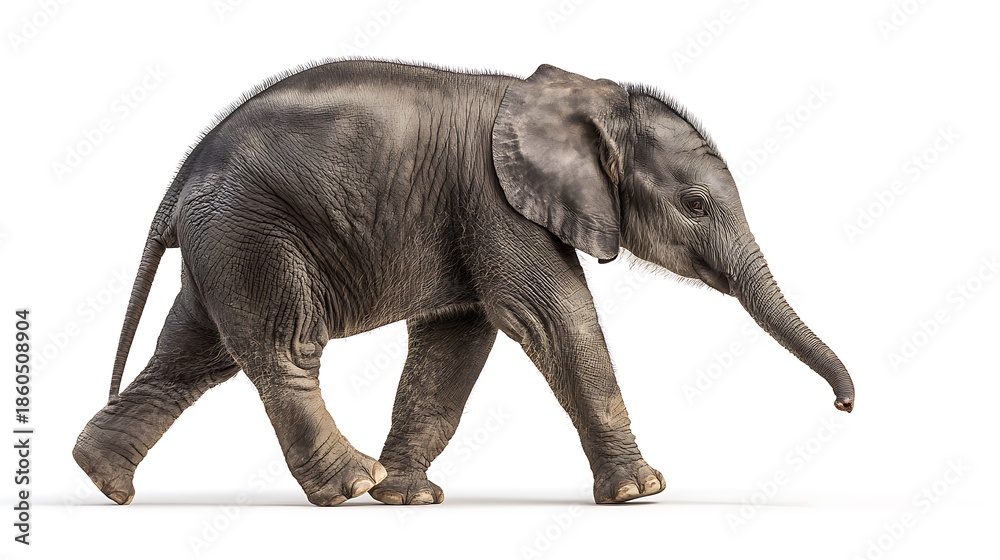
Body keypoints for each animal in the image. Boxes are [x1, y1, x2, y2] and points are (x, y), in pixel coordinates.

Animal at [73, 59, 855, 507]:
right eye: (694, 204)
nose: (845, 407)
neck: (588, 98)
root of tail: (183, 176)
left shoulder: (472, 212)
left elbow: (459, 337)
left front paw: (410, 500)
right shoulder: (494, 199)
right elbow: (547, 316)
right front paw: (641, 493)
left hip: (226, 240)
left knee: (195, 355)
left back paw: (104, 479)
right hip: (253, 229)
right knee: (282, 346)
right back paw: (350, 486)